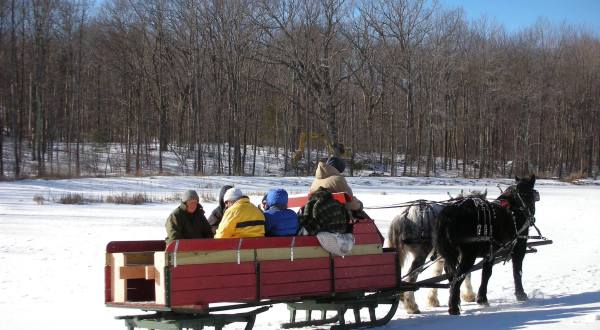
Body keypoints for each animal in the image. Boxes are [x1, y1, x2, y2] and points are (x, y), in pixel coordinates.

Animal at [436, 175, 540, 314]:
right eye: (530, 195)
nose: (531, 217)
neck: (515, 207)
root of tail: (449, 214)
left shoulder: (491, 251)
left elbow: (486, 273)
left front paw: (482, 298)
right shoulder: (519, 246)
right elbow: (517, 270)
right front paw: (521, 294)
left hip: (449, 254)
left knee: (450, 274)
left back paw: (456, 301)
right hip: (468, 255)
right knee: (457, 277)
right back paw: (453, 307)